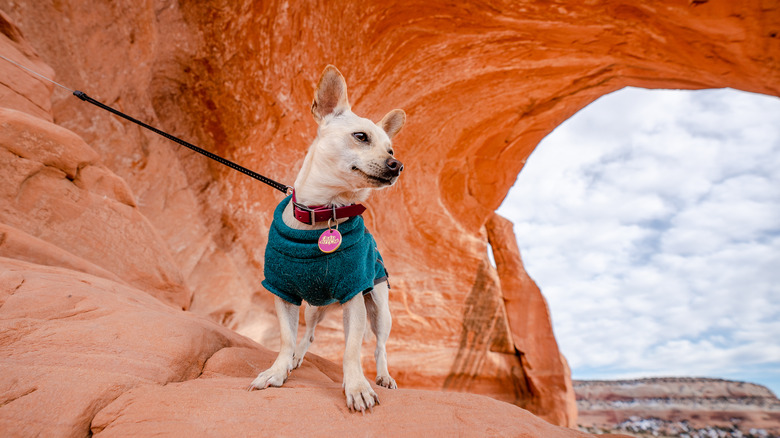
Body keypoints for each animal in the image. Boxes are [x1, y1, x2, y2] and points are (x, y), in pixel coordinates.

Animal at [248, 65, 408, 414]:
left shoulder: (353, 294)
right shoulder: (283, 292)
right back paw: (296, 358)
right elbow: (286, 338)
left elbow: (351, 350)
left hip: (379, 309)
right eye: (361, 137)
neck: (325, 213)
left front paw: (357, 387)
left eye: (391, 149)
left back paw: (384, 376)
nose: (398, 165)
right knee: (308, 334)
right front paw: (277, 371)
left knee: (379, 346)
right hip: (314, 309)